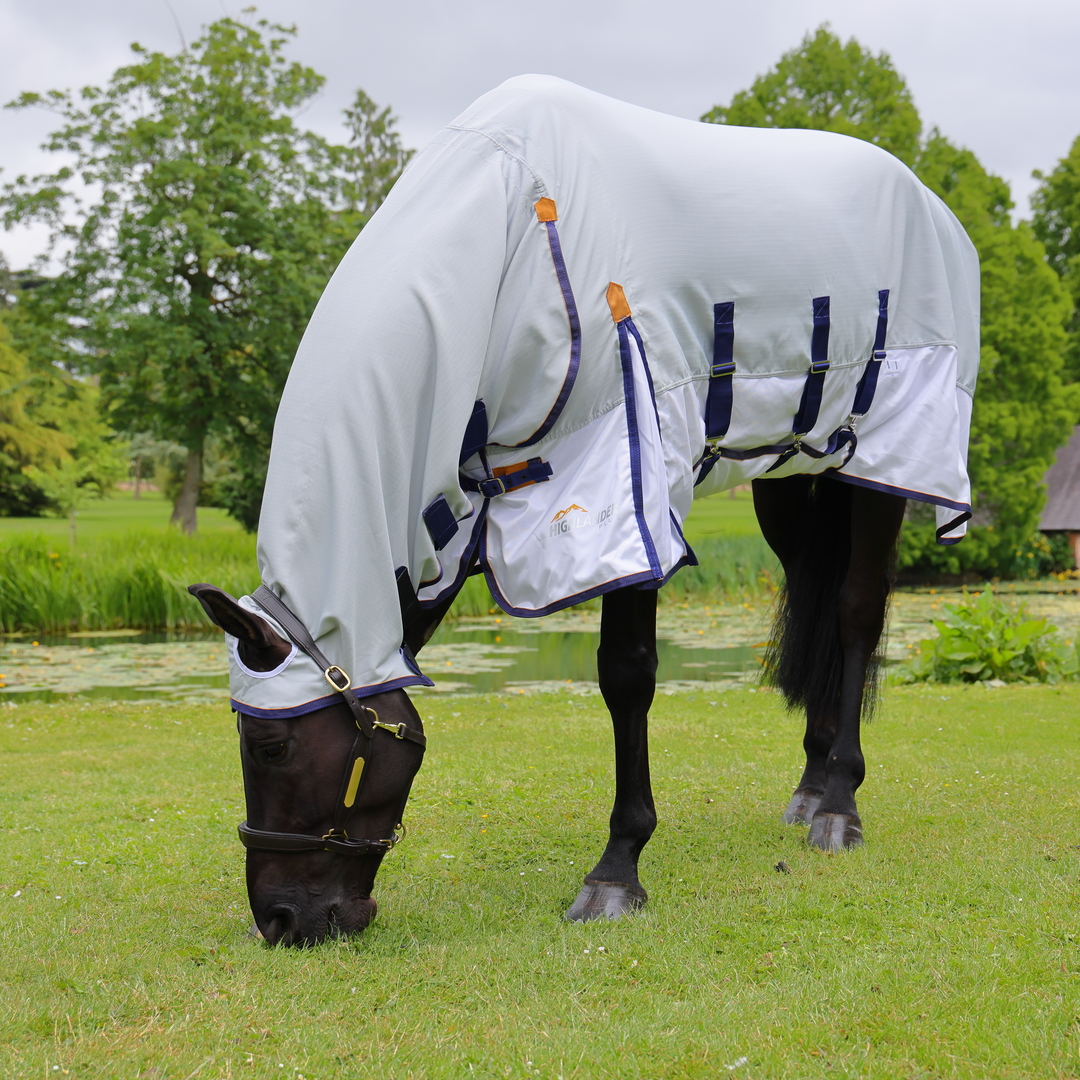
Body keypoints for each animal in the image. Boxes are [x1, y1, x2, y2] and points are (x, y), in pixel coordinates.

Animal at [189, 75, 978, 946]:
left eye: (269, 745)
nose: (281, 919)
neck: (509, 235)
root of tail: (930, 203)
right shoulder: (465, 507)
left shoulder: (623, 477)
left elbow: (626, 677)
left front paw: (616, 871)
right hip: (792, 473)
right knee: (816, 592)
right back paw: (810, 784)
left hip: (883, 460)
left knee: (856, 610)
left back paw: (839, 803)